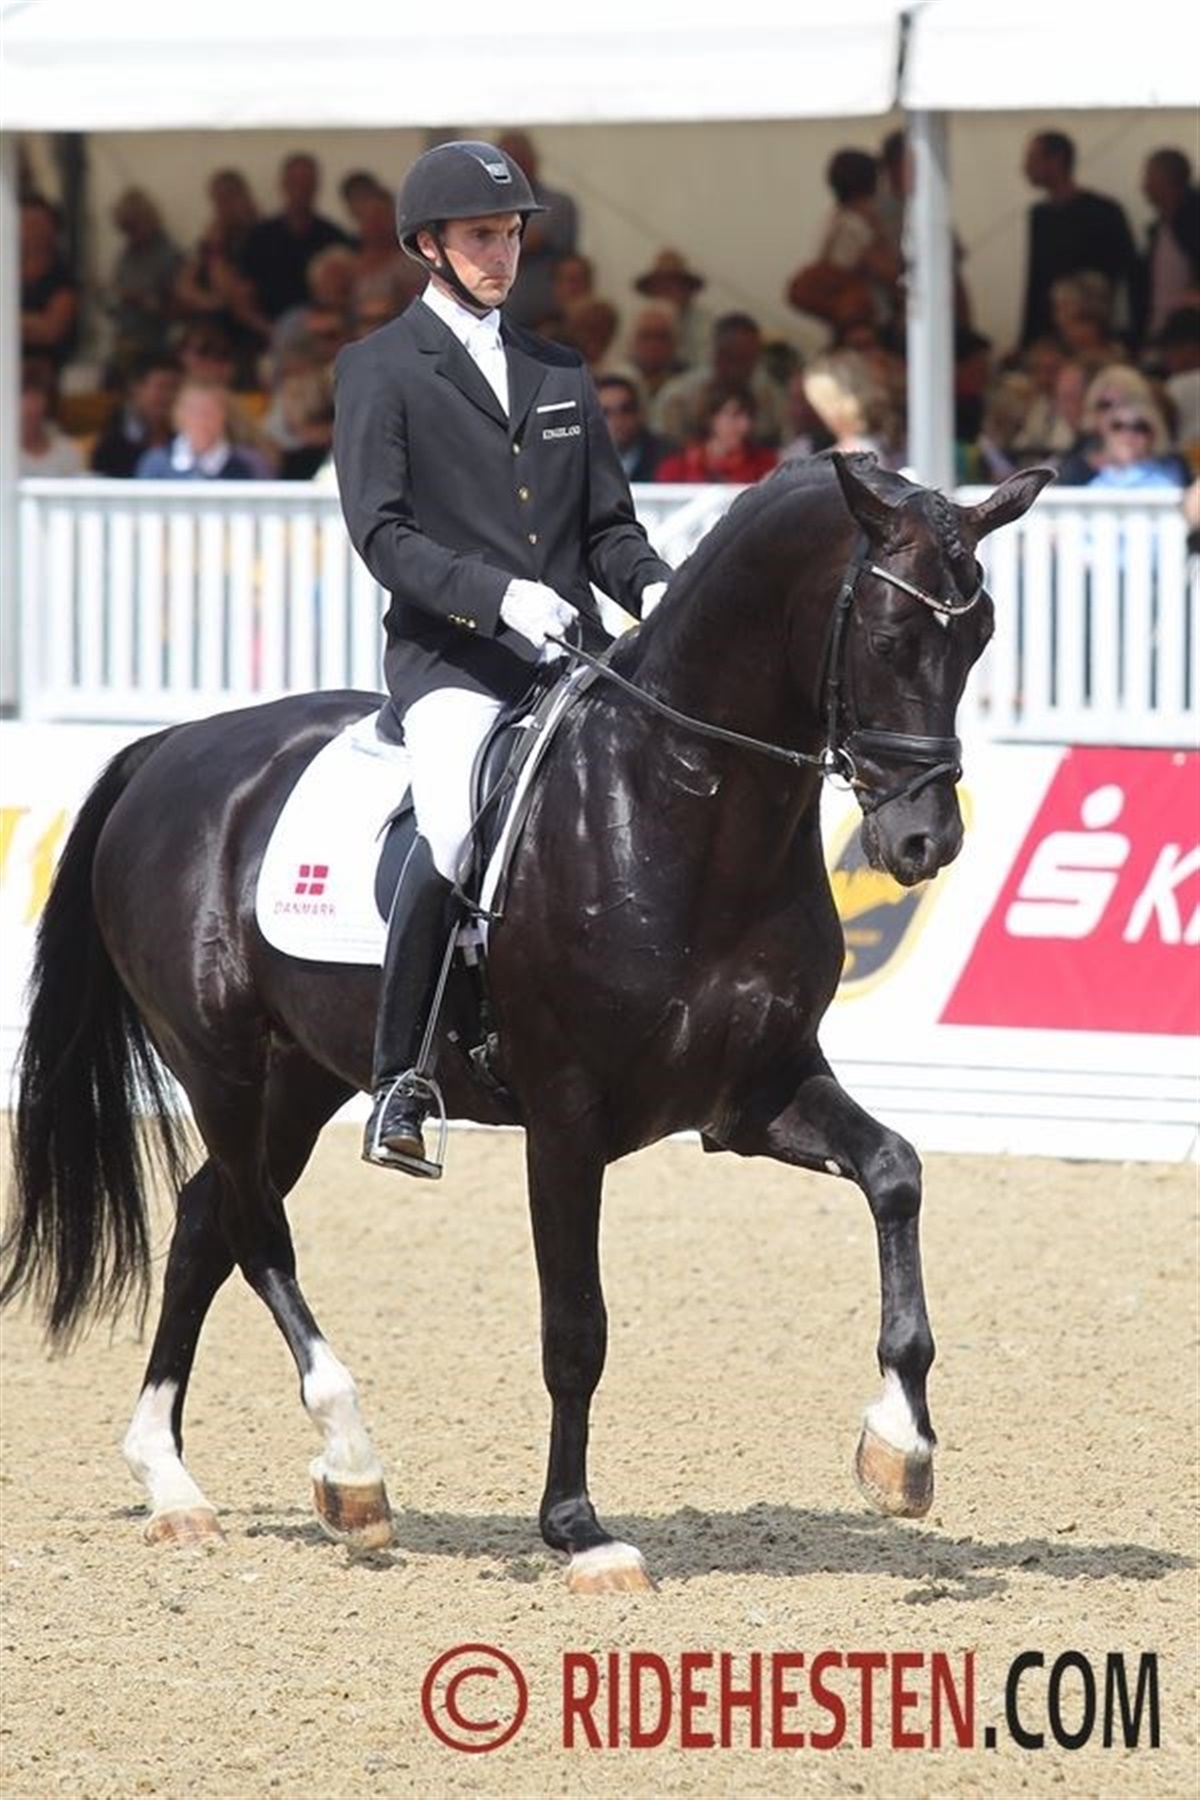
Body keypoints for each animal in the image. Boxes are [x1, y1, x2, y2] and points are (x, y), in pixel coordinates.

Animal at [2, 452, 1051, 1592]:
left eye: (981, 638)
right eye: (893, 639)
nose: (924, 841)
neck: (680, 803)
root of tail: (171, 751)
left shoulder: (755, 1094)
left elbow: (897, 1172)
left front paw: (900, 1448)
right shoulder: (565, 1117)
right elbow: (575, 1328)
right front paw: (579, 1531)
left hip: (302, 1076)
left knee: (205, 1220)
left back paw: (173, 1483)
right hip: (220, 1063)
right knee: (254, 1230)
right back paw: (352, 1466)